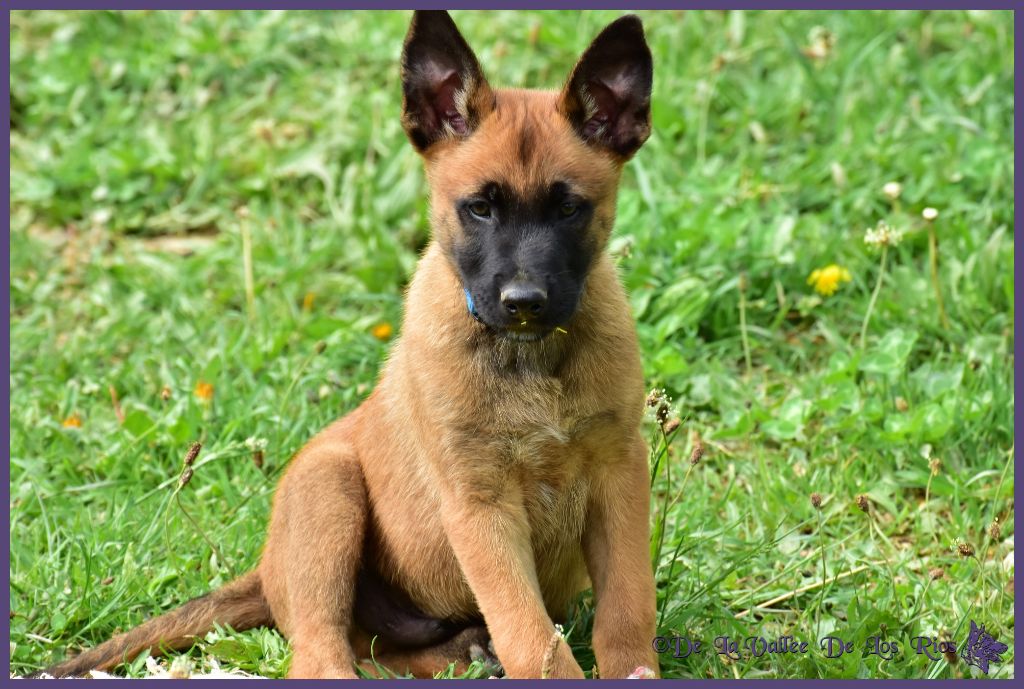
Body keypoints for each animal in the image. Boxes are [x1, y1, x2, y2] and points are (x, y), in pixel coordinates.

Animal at [38, 10, 658, 679]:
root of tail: (266, 572)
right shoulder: (479, 501)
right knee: (321, 650)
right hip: (327, 490)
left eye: (570, 209)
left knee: (387, 654)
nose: (523, 301)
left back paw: (463, 649)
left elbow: (627, 606)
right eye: (479, 209)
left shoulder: (619, 470)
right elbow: (530, 633)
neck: (532, 359)